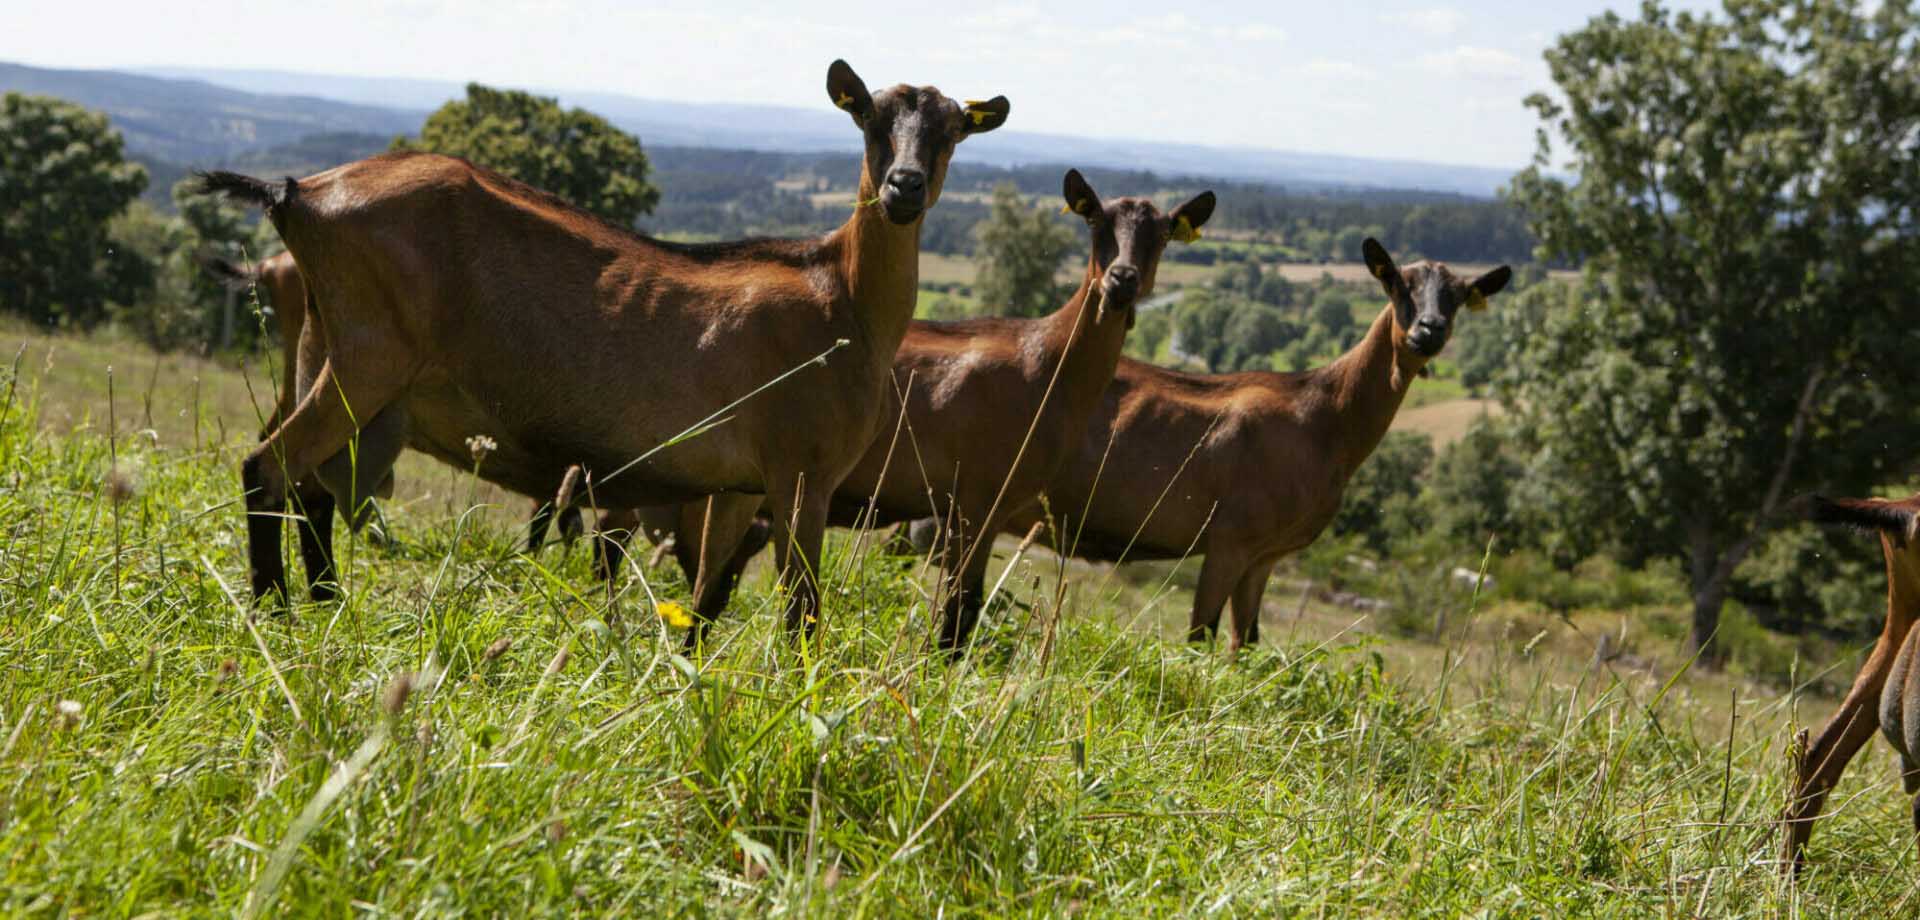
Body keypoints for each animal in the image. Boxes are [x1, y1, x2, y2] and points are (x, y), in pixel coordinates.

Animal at [196, 61, 1013, 637]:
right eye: (870, 118)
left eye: (950, 130)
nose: (904, 187)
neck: (841, 294)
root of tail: (299, 194)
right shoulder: (802, 472)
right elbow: (801, 612)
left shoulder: (740, 484)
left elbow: (706, 596)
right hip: (368, 359)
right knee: (268, 468)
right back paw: (279, 618)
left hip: (325, 352)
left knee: (309, 489)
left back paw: (326, 608)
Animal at [614, 169, 1213, 653]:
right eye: (1096, 222)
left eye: (1163, 234)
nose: (1122, 280)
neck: (1046, 367)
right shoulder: (977, 498)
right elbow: (958, 614)